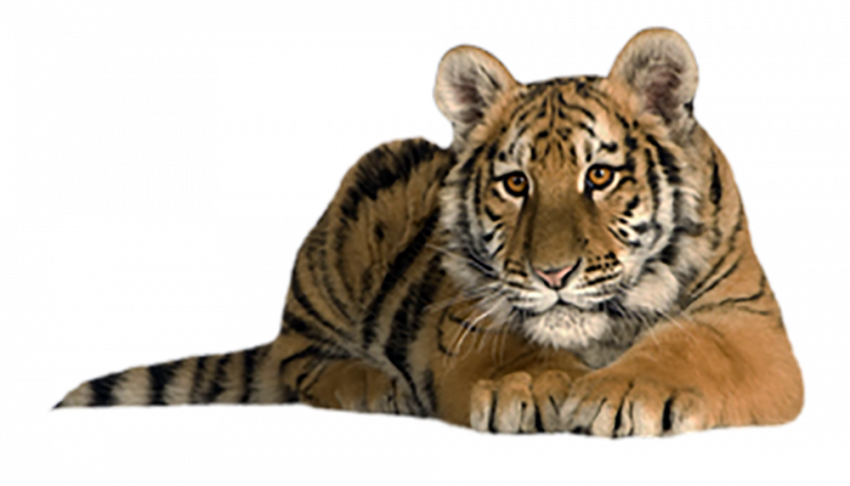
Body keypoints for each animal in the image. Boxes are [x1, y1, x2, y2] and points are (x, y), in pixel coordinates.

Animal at [48, 25, 806, 440]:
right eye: (515, 184)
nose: (553, 275)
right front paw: (534, 386)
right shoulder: (461, 320)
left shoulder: (750, 324)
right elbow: (514, 347)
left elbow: (692, 346)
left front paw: (621, 393)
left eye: (599, 176)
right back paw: (372, 385)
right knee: (296, 360)